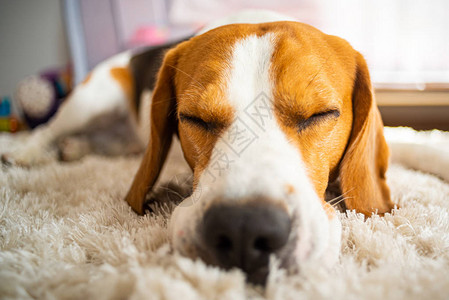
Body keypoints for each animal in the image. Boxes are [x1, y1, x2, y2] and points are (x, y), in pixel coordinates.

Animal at [0, 10, 392, 284]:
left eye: (320, 114)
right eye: (193, 118)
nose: (244, 228)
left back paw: (74, 148)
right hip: (93, 97)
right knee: (47, 128)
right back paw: (26, 152)